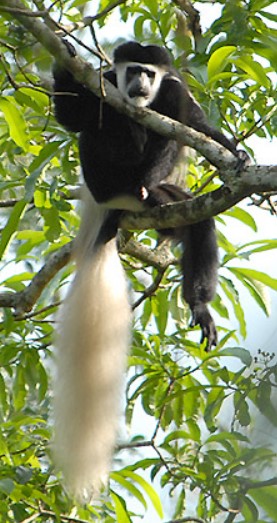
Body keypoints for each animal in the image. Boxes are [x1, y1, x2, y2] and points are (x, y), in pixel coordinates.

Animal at [51, 40, 242, 500]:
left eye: (148, 73)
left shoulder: (176, 91)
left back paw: (197, 302)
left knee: (197, 220)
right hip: (108, 178)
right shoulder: (102, 83)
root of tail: (113, 206)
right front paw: (64, 56)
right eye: (130, 70)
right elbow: (72, 115)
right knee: (100, 128)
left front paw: (237, 154)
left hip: (172, 202)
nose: (137, 85)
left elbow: (196, 126)